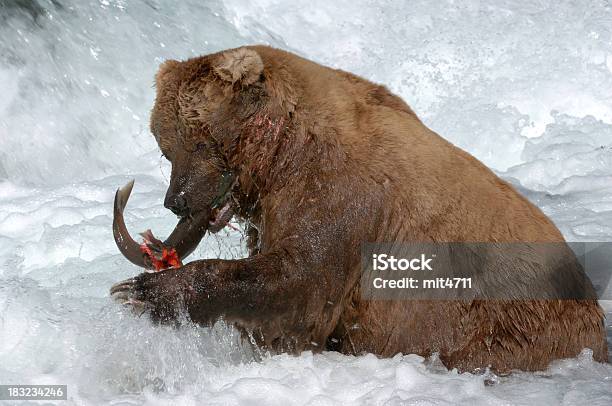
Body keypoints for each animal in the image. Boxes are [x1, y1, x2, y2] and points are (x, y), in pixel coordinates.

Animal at [110, 46, 608, 372]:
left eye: (200, 140)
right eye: (165, 147)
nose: (177, 200)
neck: (280, 156)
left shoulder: (342, 197)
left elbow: (299, 282)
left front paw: (142, 291)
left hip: (506, 325)